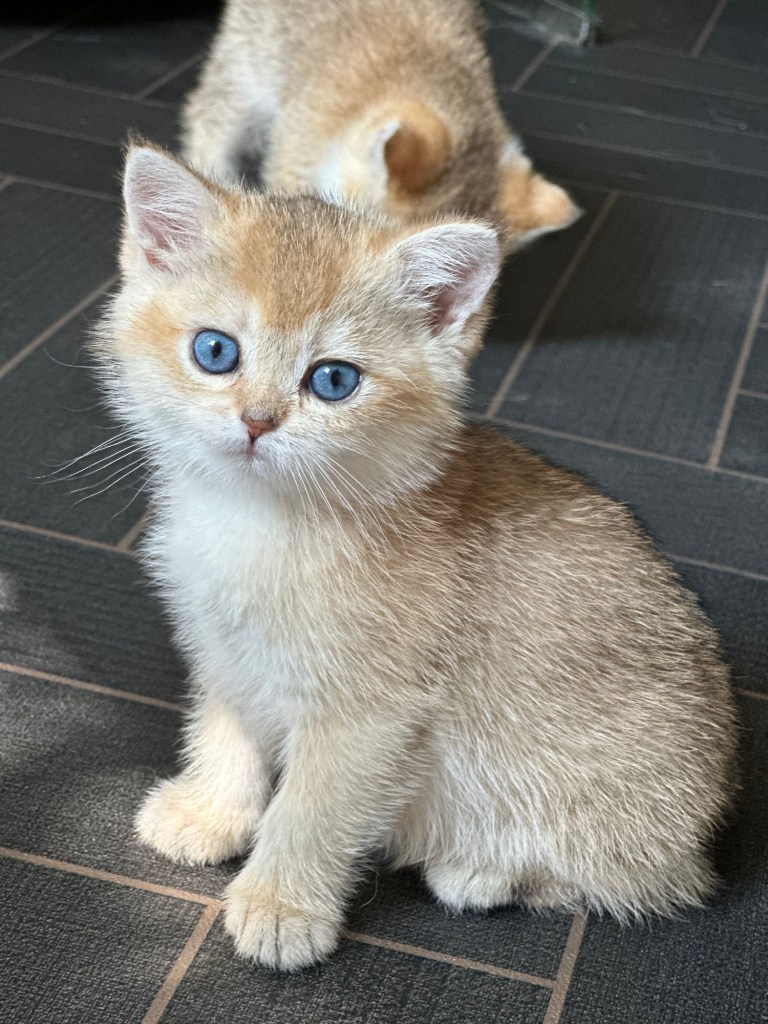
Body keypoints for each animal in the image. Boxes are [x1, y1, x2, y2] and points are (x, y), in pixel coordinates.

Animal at [93, 143, 738, 972]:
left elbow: (311, 810)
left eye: (334, 380)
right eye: (215, 351)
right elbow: (225, 726)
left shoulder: (369, 714)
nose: (258, 421)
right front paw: (212, 810)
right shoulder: (224, 647)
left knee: (636, 880)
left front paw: (281, 904)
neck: (263, 521)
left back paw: (486, 870)